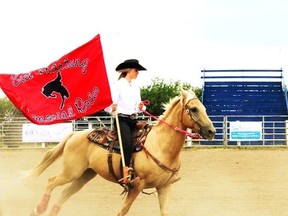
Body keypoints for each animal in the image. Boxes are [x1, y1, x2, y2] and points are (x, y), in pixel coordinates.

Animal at [28, 88, 215, 215]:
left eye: (205, 108)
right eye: (194, 109)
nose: (211, 131)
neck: (161, 145)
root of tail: (76, 134)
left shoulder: (164, 187)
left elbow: (165, 212)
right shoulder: (136, 185)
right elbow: (122, 211)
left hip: (85, 174)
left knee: (65, 193)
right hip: (71, 171)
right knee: (51, 181)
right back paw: (38, 209)